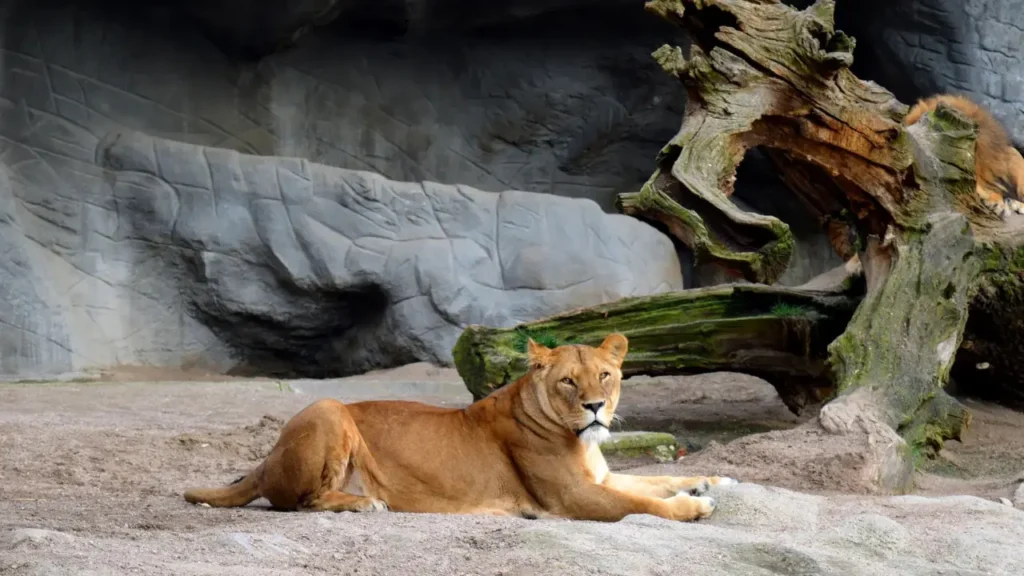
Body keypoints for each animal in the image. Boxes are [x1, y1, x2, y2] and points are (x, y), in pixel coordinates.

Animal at [183, 333, 737, 522]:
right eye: (567, 381)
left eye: (604, 375)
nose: (597, 407)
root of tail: (265, 460)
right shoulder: (573, 498)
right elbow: (642, 502)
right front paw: (695, 507)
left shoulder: (598, 478)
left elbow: (652, 480)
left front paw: (715, 480)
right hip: (329, 406)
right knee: (300, 501)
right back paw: (366, 503)